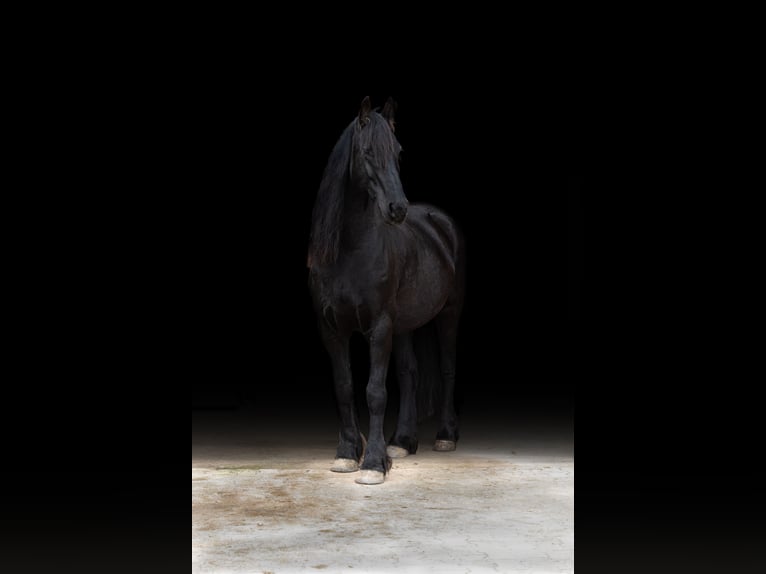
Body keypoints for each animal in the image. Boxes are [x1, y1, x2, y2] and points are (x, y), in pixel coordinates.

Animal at [307, 96, 465, 485]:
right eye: (367, 152)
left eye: (398, 152)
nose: (397, 208)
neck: (350, 250)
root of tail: (440, 222)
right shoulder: (332, 329)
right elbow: (345, 387)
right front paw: (348, 453)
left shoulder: (379, 326)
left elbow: (375, 392)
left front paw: (373, 463)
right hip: (405, 325)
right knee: (410, 374)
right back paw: (402, 442)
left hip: (449, 313)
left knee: (447, 368)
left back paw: (445, 436)